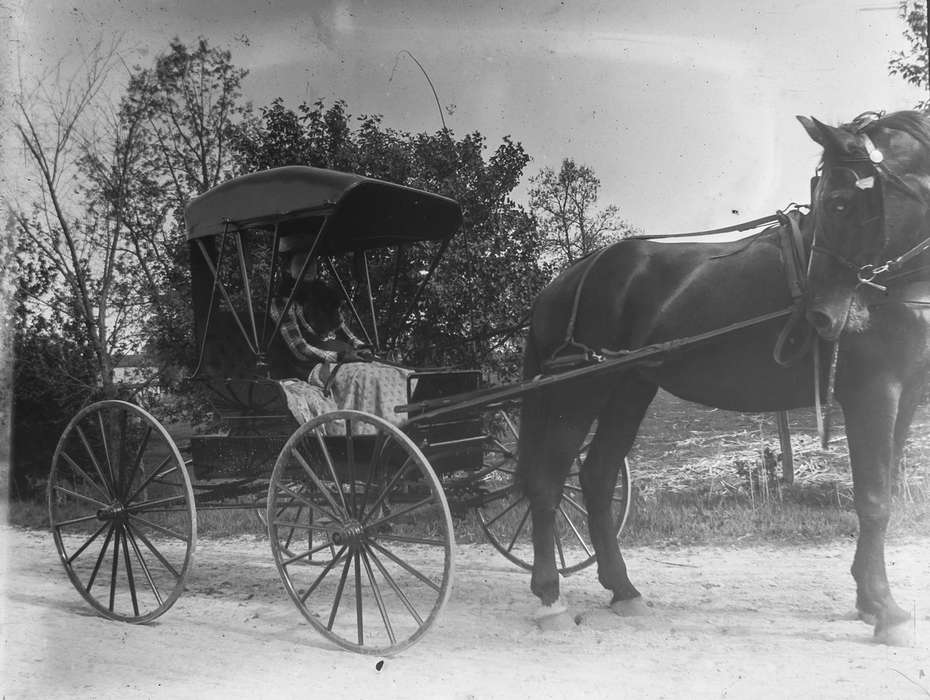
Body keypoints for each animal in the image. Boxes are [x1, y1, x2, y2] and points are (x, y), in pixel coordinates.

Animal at [520, 110, 924, 652]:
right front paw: (886, 608)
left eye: (839, 202)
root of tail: (564, 280)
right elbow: (874, 500)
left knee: (597, 476)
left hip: (630, 388)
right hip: (579, 392)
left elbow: (886, 488)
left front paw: (868, 599)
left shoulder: (908, 395)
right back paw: (550, 599)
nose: (821, 315)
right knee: (547, 482)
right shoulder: (873, 393)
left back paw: (624, 590)